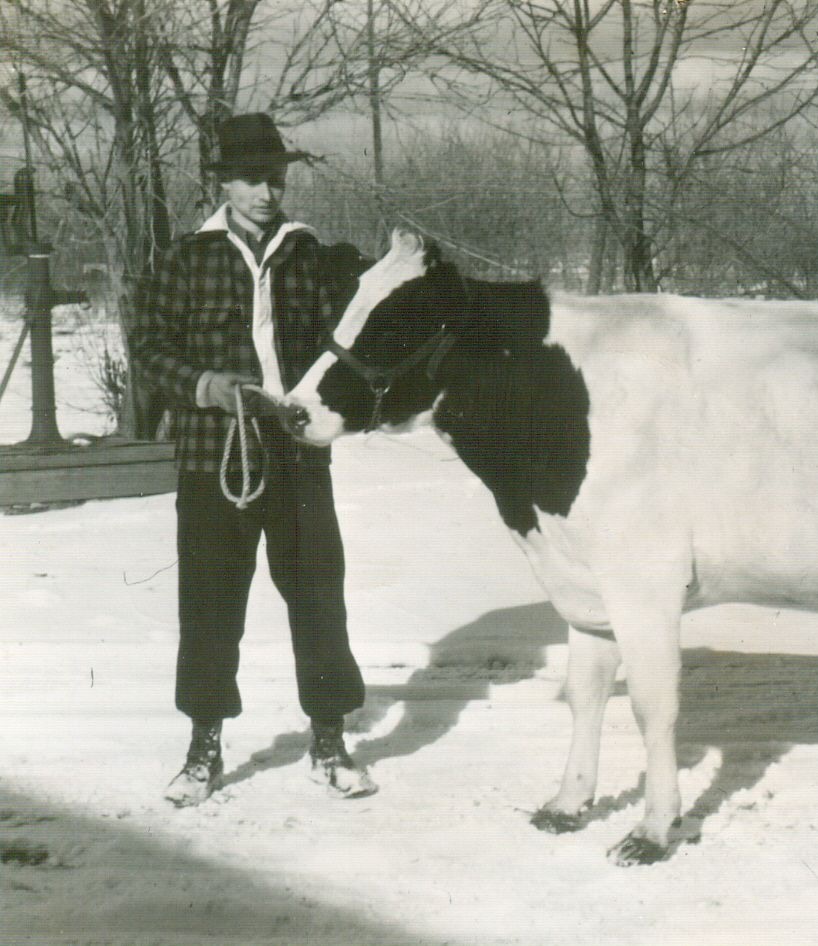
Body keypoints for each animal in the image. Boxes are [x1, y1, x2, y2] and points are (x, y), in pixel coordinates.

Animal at [272, 229, 818, 865]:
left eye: (398, 322)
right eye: (344, 306)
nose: (292, 411)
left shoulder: (644, 582)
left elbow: (652, 707)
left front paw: (652, 832)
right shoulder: (583, 584)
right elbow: (586, 694)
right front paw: (567, 804)